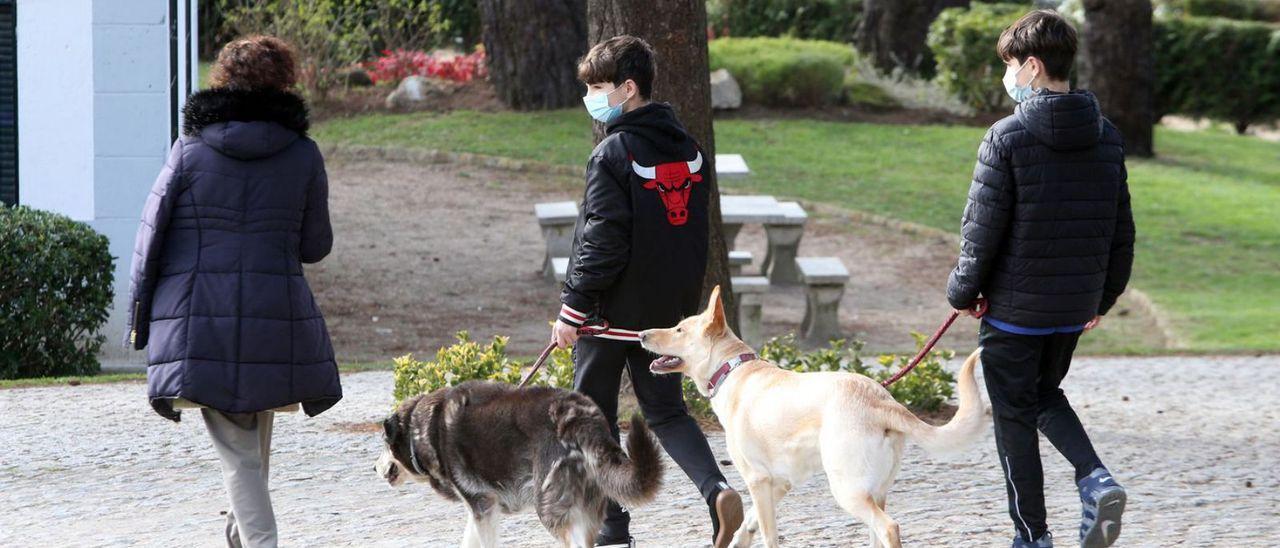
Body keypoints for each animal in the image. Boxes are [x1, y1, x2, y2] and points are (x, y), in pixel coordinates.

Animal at [373, 381, 665, 548]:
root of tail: (577, 415)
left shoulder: (481, 505)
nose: (373, 468)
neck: (424, 430)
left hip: (549, 509)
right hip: (586, 508)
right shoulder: (483, 506)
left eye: (384, 443)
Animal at [640, 286, 988, 548]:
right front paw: (737, 540)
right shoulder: (780, 482)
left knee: (889, 528)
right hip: (876, 491)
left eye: (679, 329)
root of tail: (880, 399)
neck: (733, 368)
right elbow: (749, 521)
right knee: (877, 532)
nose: (641, 333)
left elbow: (768, 534)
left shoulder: (758, 479)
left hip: (848, 490)